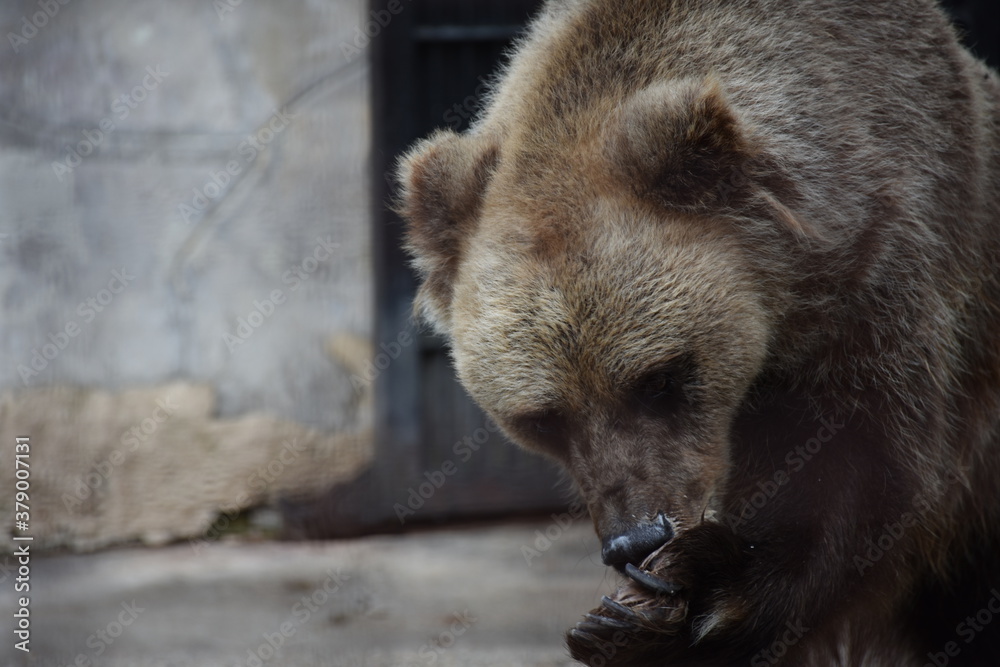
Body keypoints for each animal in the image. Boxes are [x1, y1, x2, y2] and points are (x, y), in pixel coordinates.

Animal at [396, 0, 1000, 664]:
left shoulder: (882, 281)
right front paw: (623, 623)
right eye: (542, 418)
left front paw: (706, 585)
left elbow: (863, 464)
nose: (635, 539)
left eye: (658, 378)